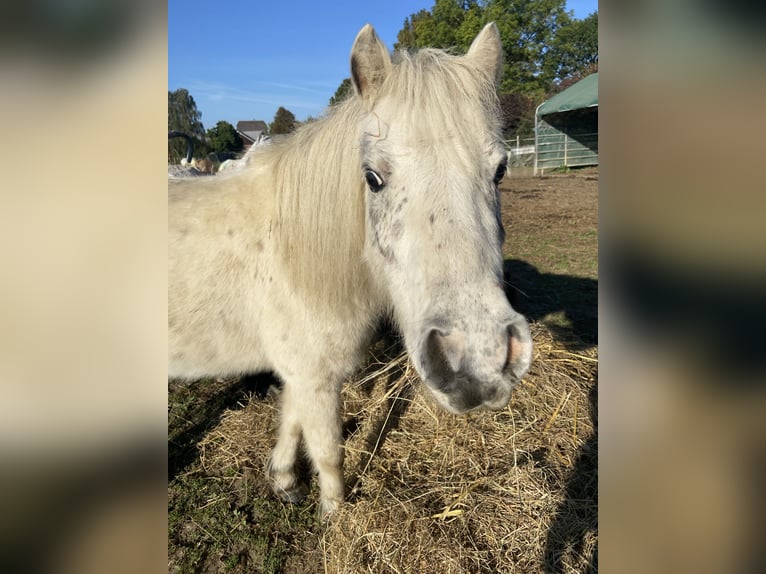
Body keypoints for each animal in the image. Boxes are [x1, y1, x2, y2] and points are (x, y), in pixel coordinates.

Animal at [168, 23, 532, 519]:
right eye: (372, 178)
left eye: (500, 170)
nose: (478, 360)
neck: (292, 252)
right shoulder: (314, 376)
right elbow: (328, 450)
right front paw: (335, 515)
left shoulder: (304, 372)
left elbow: (292, 423)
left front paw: (285, 482)